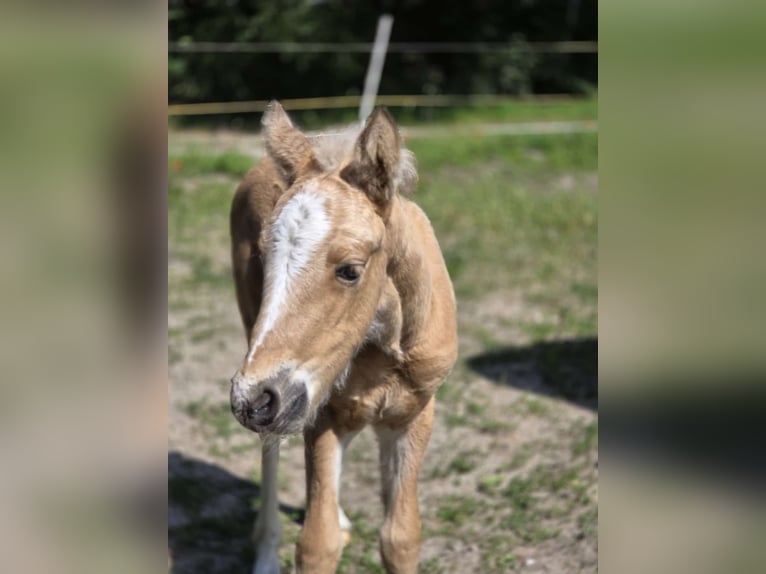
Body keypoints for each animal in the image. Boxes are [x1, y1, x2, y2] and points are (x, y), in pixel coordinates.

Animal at [229, 101, 458, 574]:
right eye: (263, 258)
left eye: (351, 270)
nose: (253, 399)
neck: (384, 349)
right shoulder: (319, 415)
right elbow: (317, 544)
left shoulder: (414, 413)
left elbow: (401, 537)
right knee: (270, 451)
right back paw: (266, 553)